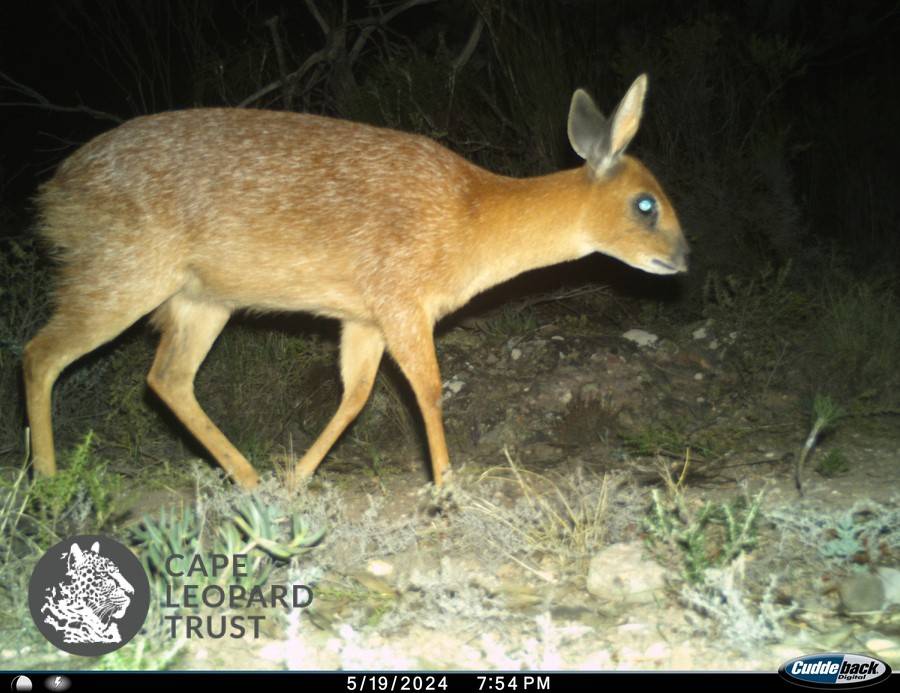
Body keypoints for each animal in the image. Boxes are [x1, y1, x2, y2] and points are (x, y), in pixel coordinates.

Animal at [24, 74, 688, 490]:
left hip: (199, 303)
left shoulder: (362, 320)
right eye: (646, 204)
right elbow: (430, 391)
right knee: (40, 356)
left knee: (167, 379)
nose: (683, 259)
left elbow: (356, 396)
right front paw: (446, 489)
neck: (473, 215)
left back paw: (250, 478)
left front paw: (297, 479)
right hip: (118, 280)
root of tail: (52, 191)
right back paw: (49, 486)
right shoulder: (403, 306)